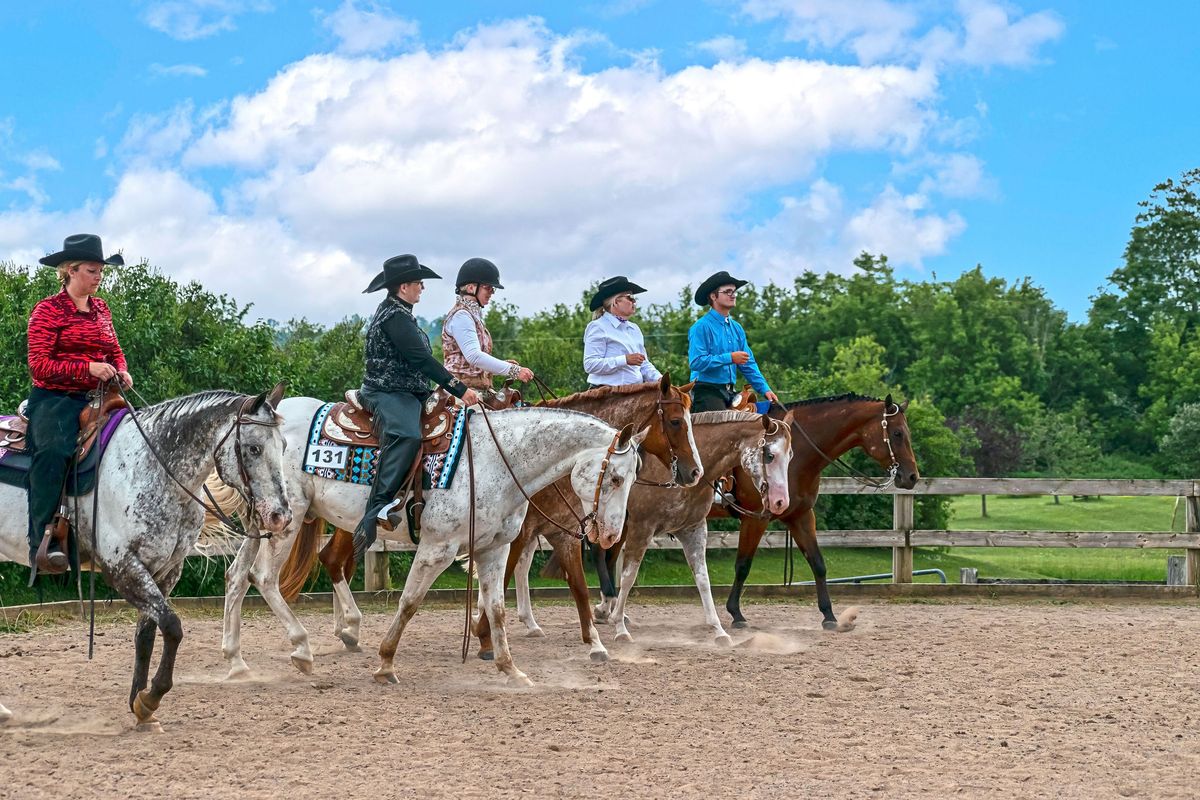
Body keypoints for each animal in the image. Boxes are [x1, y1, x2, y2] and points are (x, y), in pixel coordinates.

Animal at [0, 383, 292, 729]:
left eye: (283, 446)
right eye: (253, 448)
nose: (280, 516)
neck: (153, 468)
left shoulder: (165, 570)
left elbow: (147, 634)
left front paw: (140, 706)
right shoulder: (123, 567)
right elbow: (172, 626)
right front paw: (151, 697)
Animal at [604, 410, 792, 647]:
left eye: (790, 456)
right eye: (769, 455)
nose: (781, 502)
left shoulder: (693, 529)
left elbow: (703, 579)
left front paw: (719, 631)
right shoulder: (641, 528)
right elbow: (629, 576)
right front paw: (620, 628)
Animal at [715, 393, 921, 633]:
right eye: (897, 433)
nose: (912, 477)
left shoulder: (800, 515)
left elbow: (818, 563)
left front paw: (829, 615)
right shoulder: (755, 518)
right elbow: (743, 565)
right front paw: (736, 614)